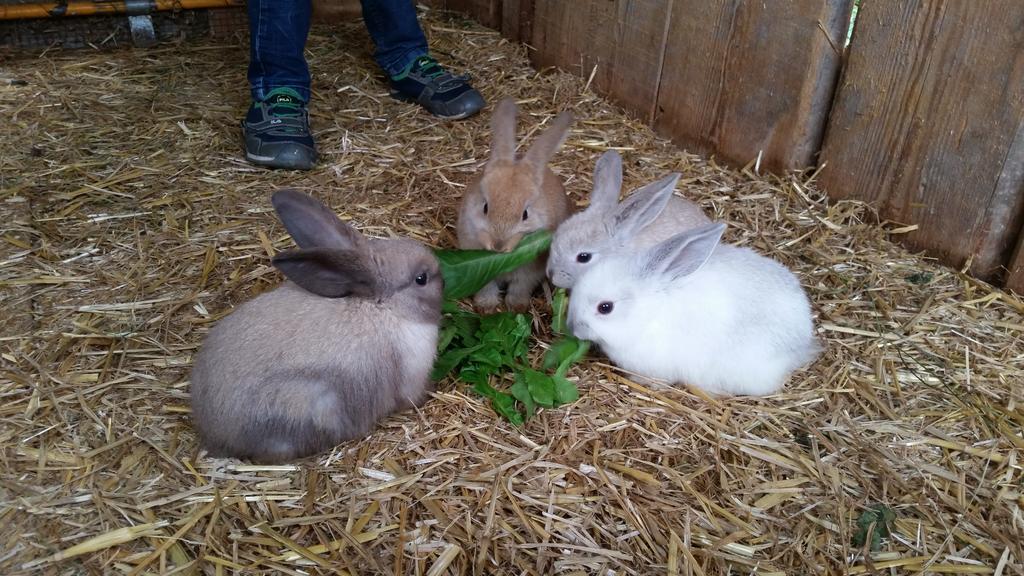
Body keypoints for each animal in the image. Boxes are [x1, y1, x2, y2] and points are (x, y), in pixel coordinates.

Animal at [458, 97, 577, 309]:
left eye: (525, 214)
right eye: (485, 207)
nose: (498, 246)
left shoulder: (529, 274)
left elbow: (519, 288)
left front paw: (516, 307)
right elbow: (486, 287)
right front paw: (486, 307)